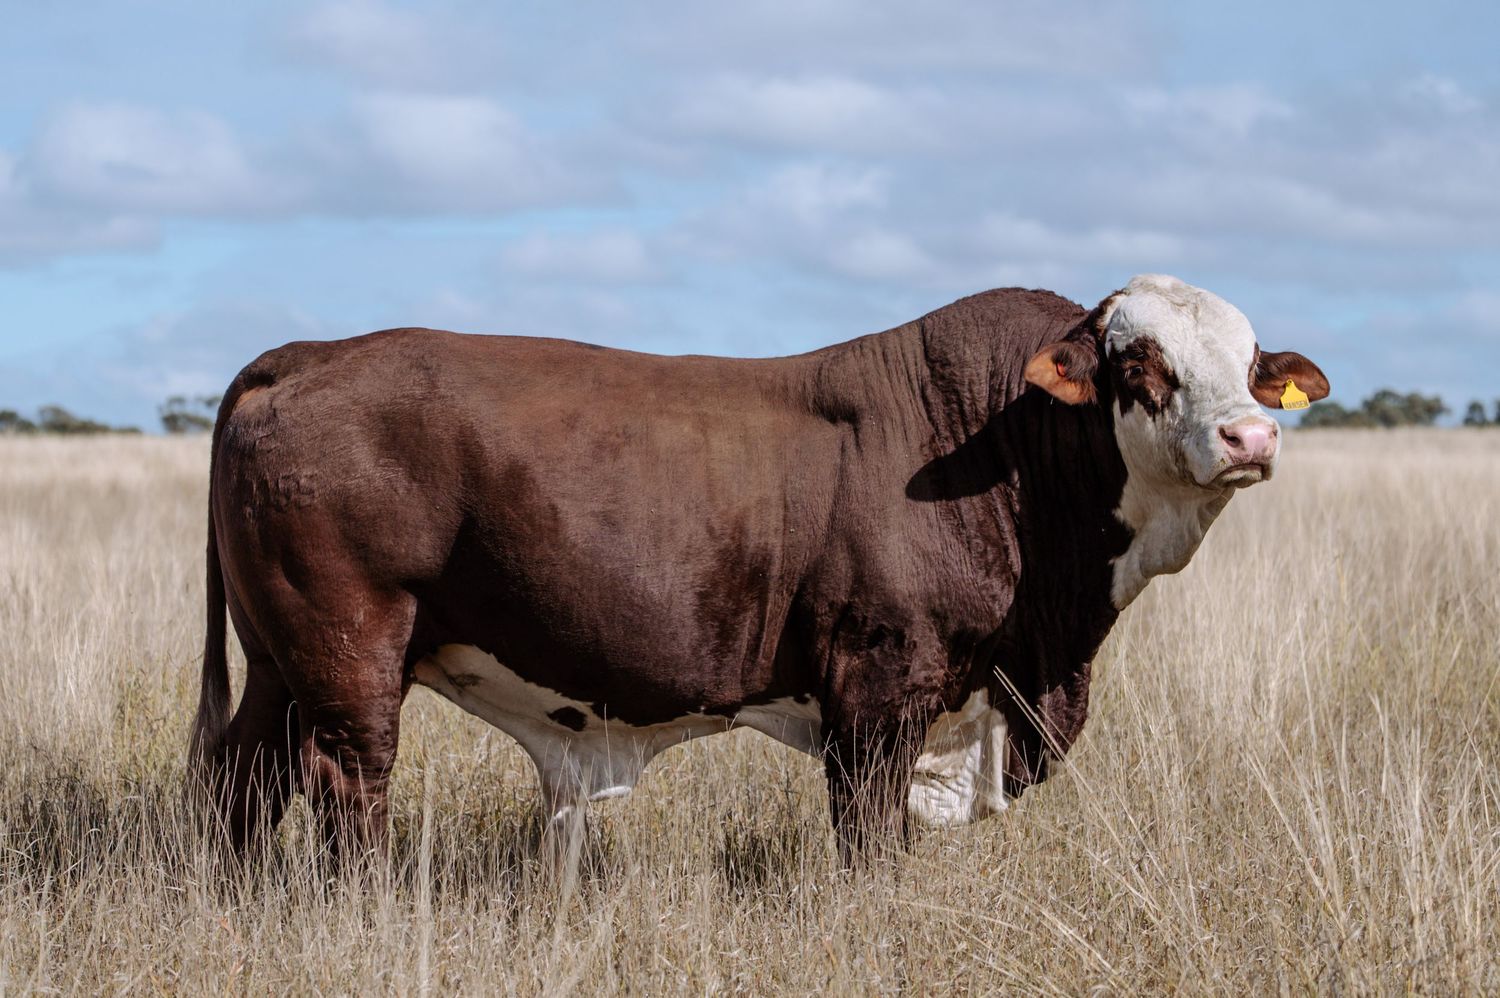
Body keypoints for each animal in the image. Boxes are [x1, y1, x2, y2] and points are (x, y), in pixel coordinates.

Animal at [191, 274, 1328, 864]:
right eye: (1139, 364)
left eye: (1250, 359)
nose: (1250, 435)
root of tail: (313, 353)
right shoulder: (879, 692)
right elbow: (869, 836)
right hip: (350, 652)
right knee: (347, 782)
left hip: (279, 660)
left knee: (242, 776)